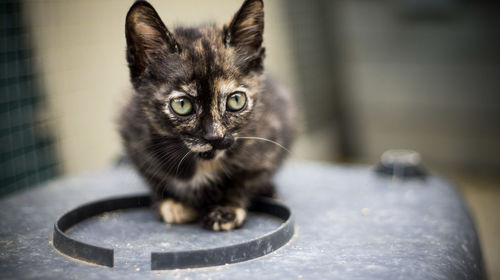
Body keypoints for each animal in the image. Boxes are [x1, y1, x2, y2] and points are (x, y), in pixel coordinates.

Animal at [119, 0, 294, 231]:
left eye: (236, 101)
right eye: (182, 105)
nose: (215, 137)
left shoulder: (270, 138)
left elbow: (245, 179)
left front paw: (226, 208)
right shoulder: (135, 138)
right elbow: (153, 178)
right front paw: (173, 202)